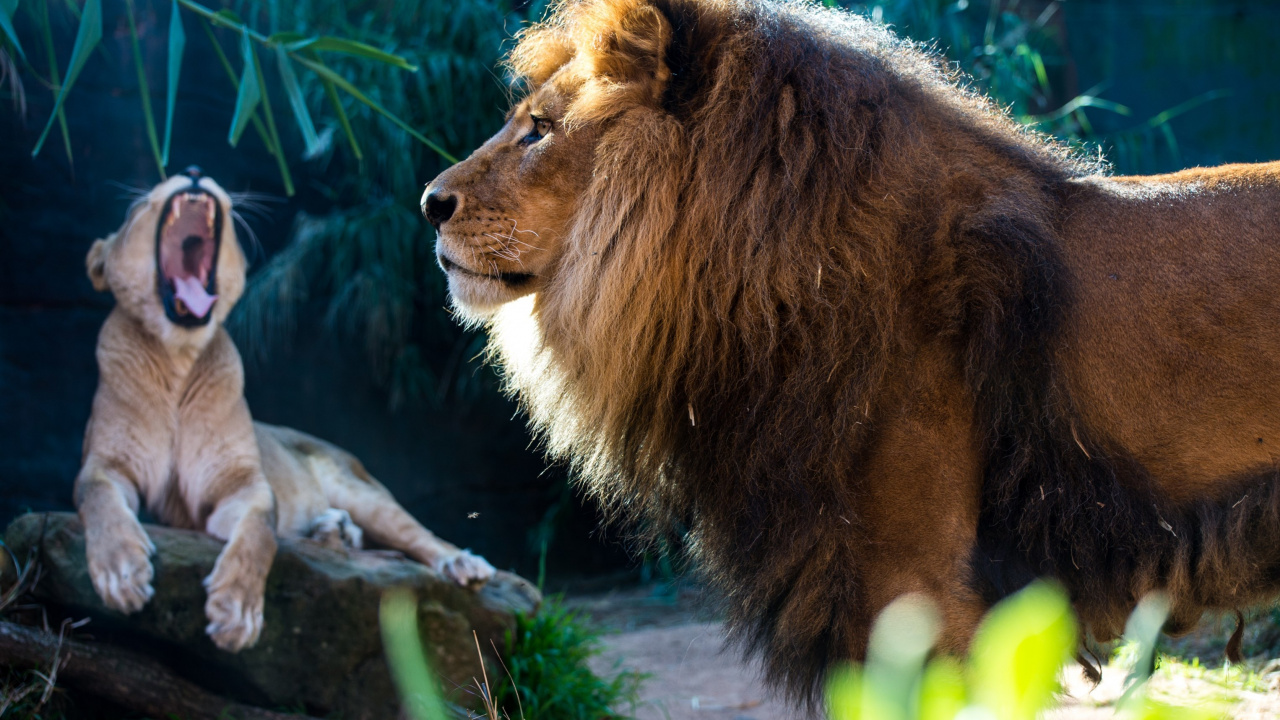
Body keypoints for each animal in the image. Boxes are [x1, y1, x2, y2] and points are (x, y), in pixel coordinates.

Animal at [78, 168, 495, 652]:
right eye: (137, 206)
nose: (196, 172)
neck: (178, 360)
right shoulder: (105, 465)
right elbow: (98, 498)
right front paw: (121, 574)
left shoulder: (245, 484)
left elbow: (260, 534)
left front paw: (237, 614)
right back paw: (332, 530)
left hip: (362, 490)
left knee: (418, 534)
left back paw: (461, 563)